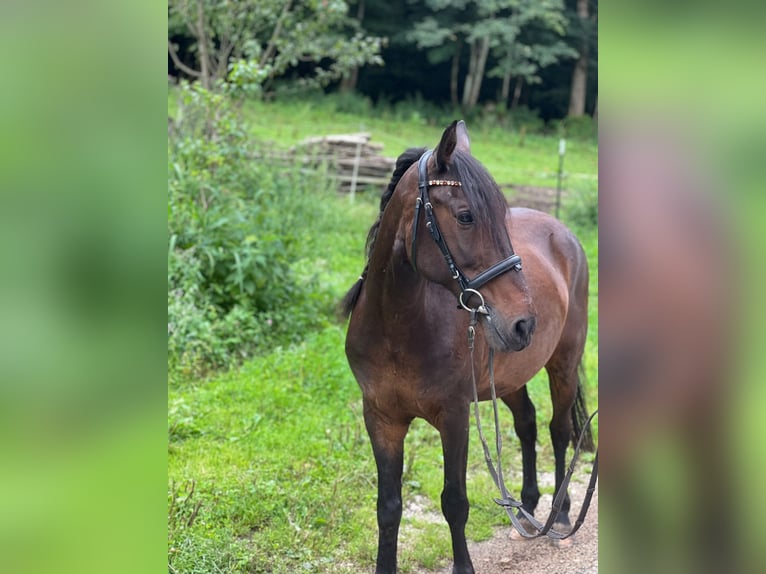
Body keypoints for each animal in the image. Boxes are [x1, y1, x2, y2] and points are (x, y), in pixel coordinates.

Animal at [342, 122, 592, 574]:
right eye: (465, 216)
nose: (523, 323)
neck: (397, 327)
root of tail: (562, 232)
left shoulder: (455, 417)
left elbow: (454, 503)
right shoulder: (381, 418)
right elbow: (388, 507)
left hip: (563, 363)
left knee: (560, 430)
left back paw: (561, 515)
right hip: (507, 375)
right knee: (527, 423)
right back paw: (527, 509)